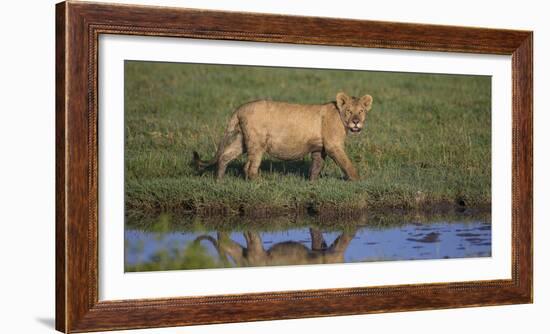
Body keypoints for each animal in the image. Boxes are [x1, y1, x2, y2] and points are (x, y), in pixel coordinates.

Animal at [192, 91, 374, 180]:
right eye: (349, 111)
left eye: (361, 111)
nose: (356, 122)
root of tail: (240, 108)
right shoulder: (333, 146)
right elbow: (347, 164)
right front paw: (358, 181)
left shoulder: (319, 148)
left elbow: (316, 167)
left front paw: (312, 184)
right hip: (257, 143)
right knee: (249, 167)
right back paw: (260, 184)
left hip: (242, 140)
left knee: (225, 156)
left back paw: (219, 180)